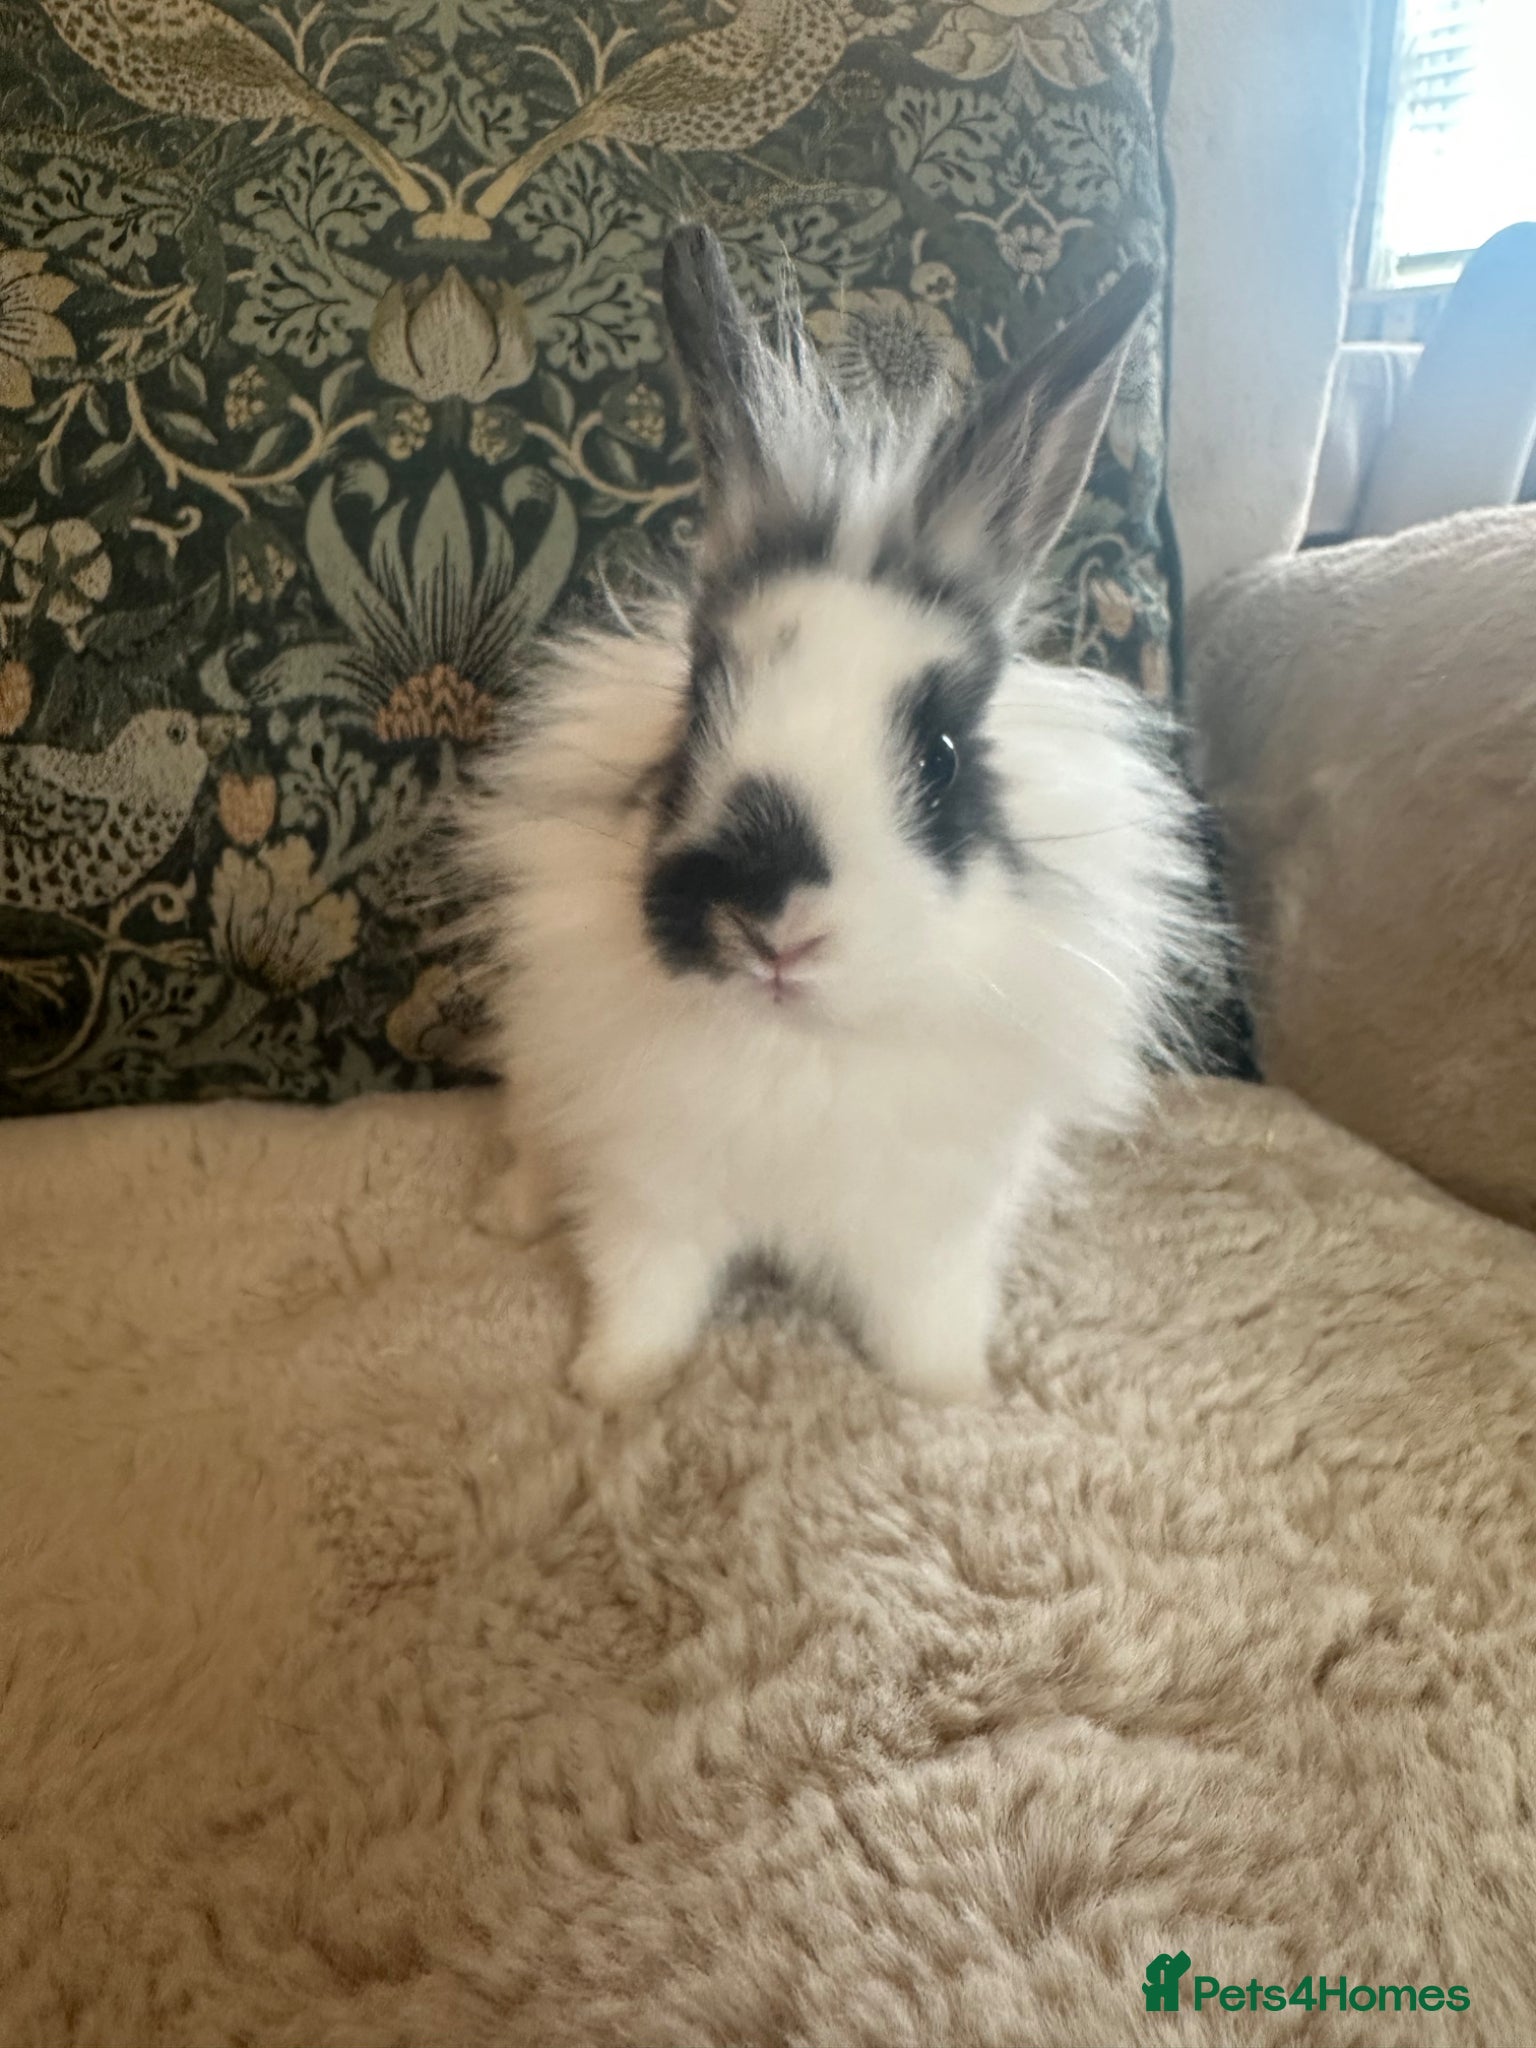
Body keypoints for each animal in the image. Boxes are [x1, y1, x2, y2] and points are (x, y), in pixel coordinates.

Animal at [469, 223, 1213, 1408]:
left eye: (941, 757)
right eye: (694, 717)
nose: (775, 928)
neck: (802, 1042)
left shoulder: (934, 1225)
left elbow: (926, 1316)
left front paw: (953, 1396)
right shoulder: (650, 1191)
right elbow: (644, 1292)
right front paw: (611, 1387)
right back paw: (505, 1213)